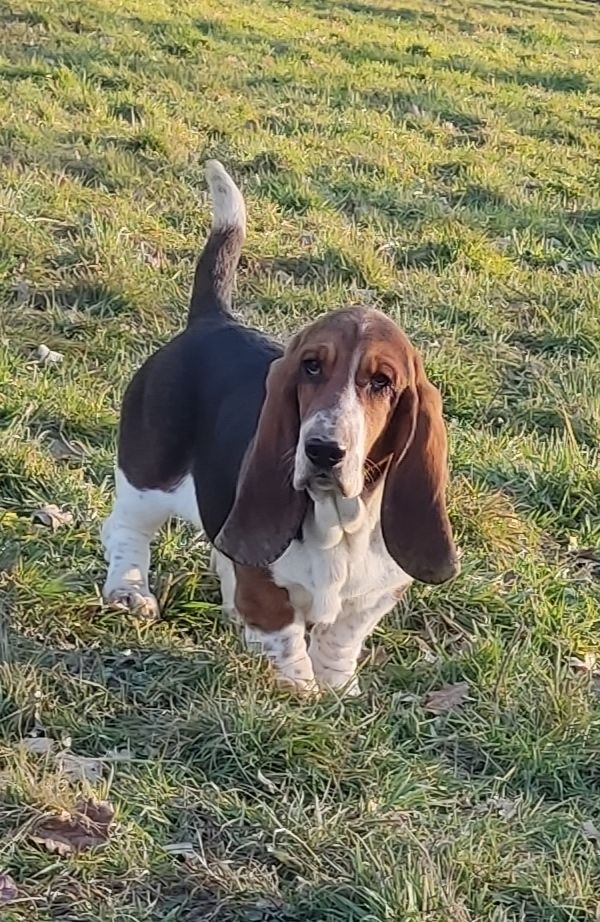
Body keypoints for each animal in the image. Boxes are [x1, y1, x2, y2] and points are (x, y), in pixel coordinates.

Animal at [103, 160, 460, 688]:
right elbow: (285, 635)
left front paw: (336, 689)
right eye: (311, 367)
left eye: (381, 382)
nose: (323, 450)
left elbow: (340, 638)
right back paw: (128, 591)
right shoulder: (266, 586)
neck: (338, 520)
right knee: (125, 529)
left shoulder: (376, 594)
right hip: (148, 476)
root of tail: (211, 320)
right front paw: (300, 691)